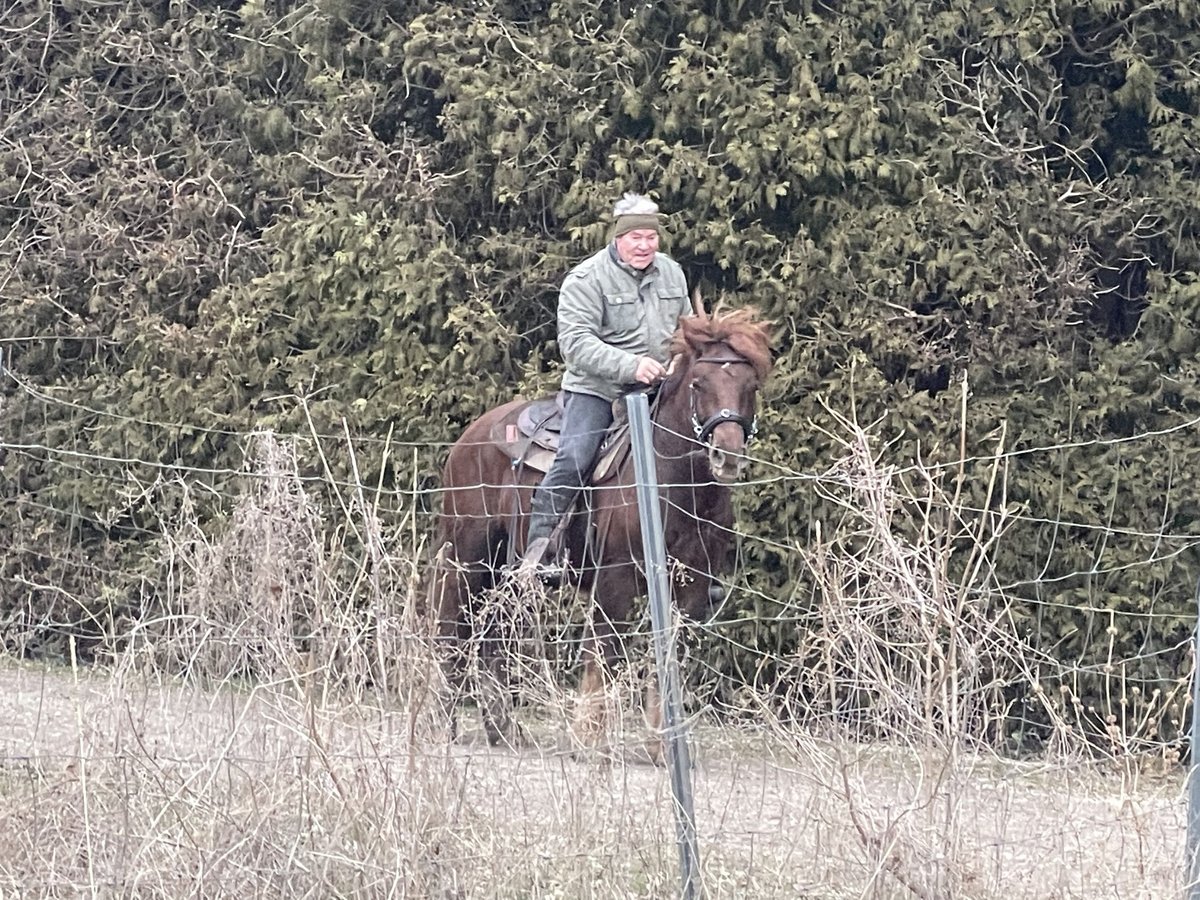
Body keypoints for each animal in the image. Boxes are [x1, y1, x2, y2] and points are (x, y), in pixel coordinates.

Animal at [427, 307, 772, 748]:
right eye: (699, 383)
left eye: (750, 385)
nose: (726, 455)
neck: (673, 483)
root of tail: (468, 439)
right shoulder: (615, 582)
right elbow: (605, 655)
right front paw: (590, 738)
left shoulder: (691, 589)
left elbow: (668, 657)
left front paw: (663, 743)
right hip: (468, 560)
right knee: (452, 629)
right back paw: (444, 721)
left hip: (507, 572)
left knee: (493, 637)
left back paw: (504, 729)